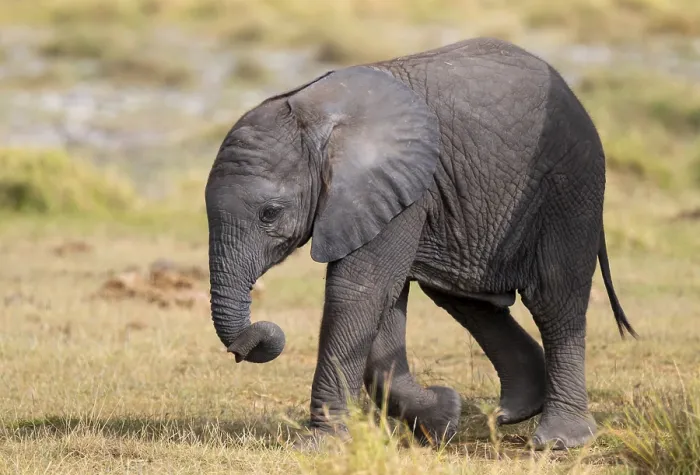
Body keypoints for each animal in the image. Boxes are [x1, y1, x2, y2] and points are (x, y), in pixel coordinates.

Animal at [204, 37, 637, 451]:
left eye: (270, 213)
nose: (253, 341)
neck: (315, 118)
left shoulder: (397, 188)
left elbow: (358, 291)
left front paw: (319, 445)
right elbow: (383, 302)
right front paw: (443, 419)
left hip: (569, 184)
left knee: (554, 299)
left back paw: (560, 440)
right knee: (467, 300)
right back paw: (512, 412)